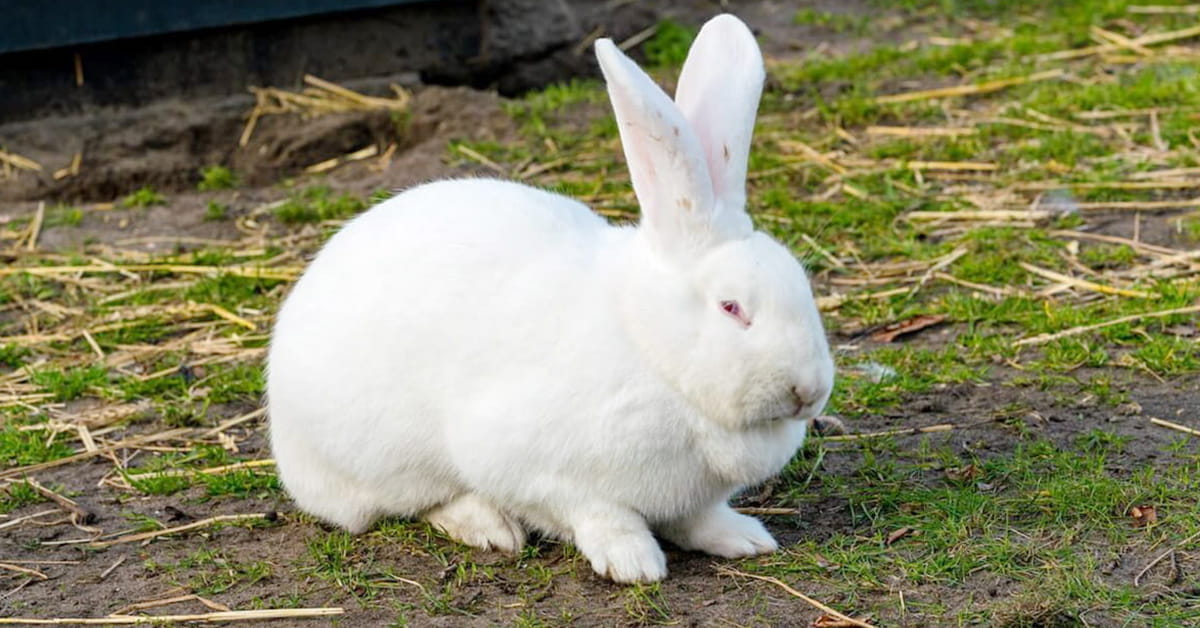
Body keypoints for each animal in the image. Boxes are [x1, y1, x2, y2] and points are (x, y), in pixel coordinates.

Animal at [267, 13, 834, 584]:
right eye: (731, 308)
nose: (808, 391)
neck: (649, 348)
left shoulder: (690, 498)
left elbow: (697, 518)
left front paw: (743, 539)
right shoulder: (534, 468)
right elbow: (598, 513)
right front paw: (633, 563)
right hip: (384, 463)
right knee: (412, 503)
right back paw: (490, 527)